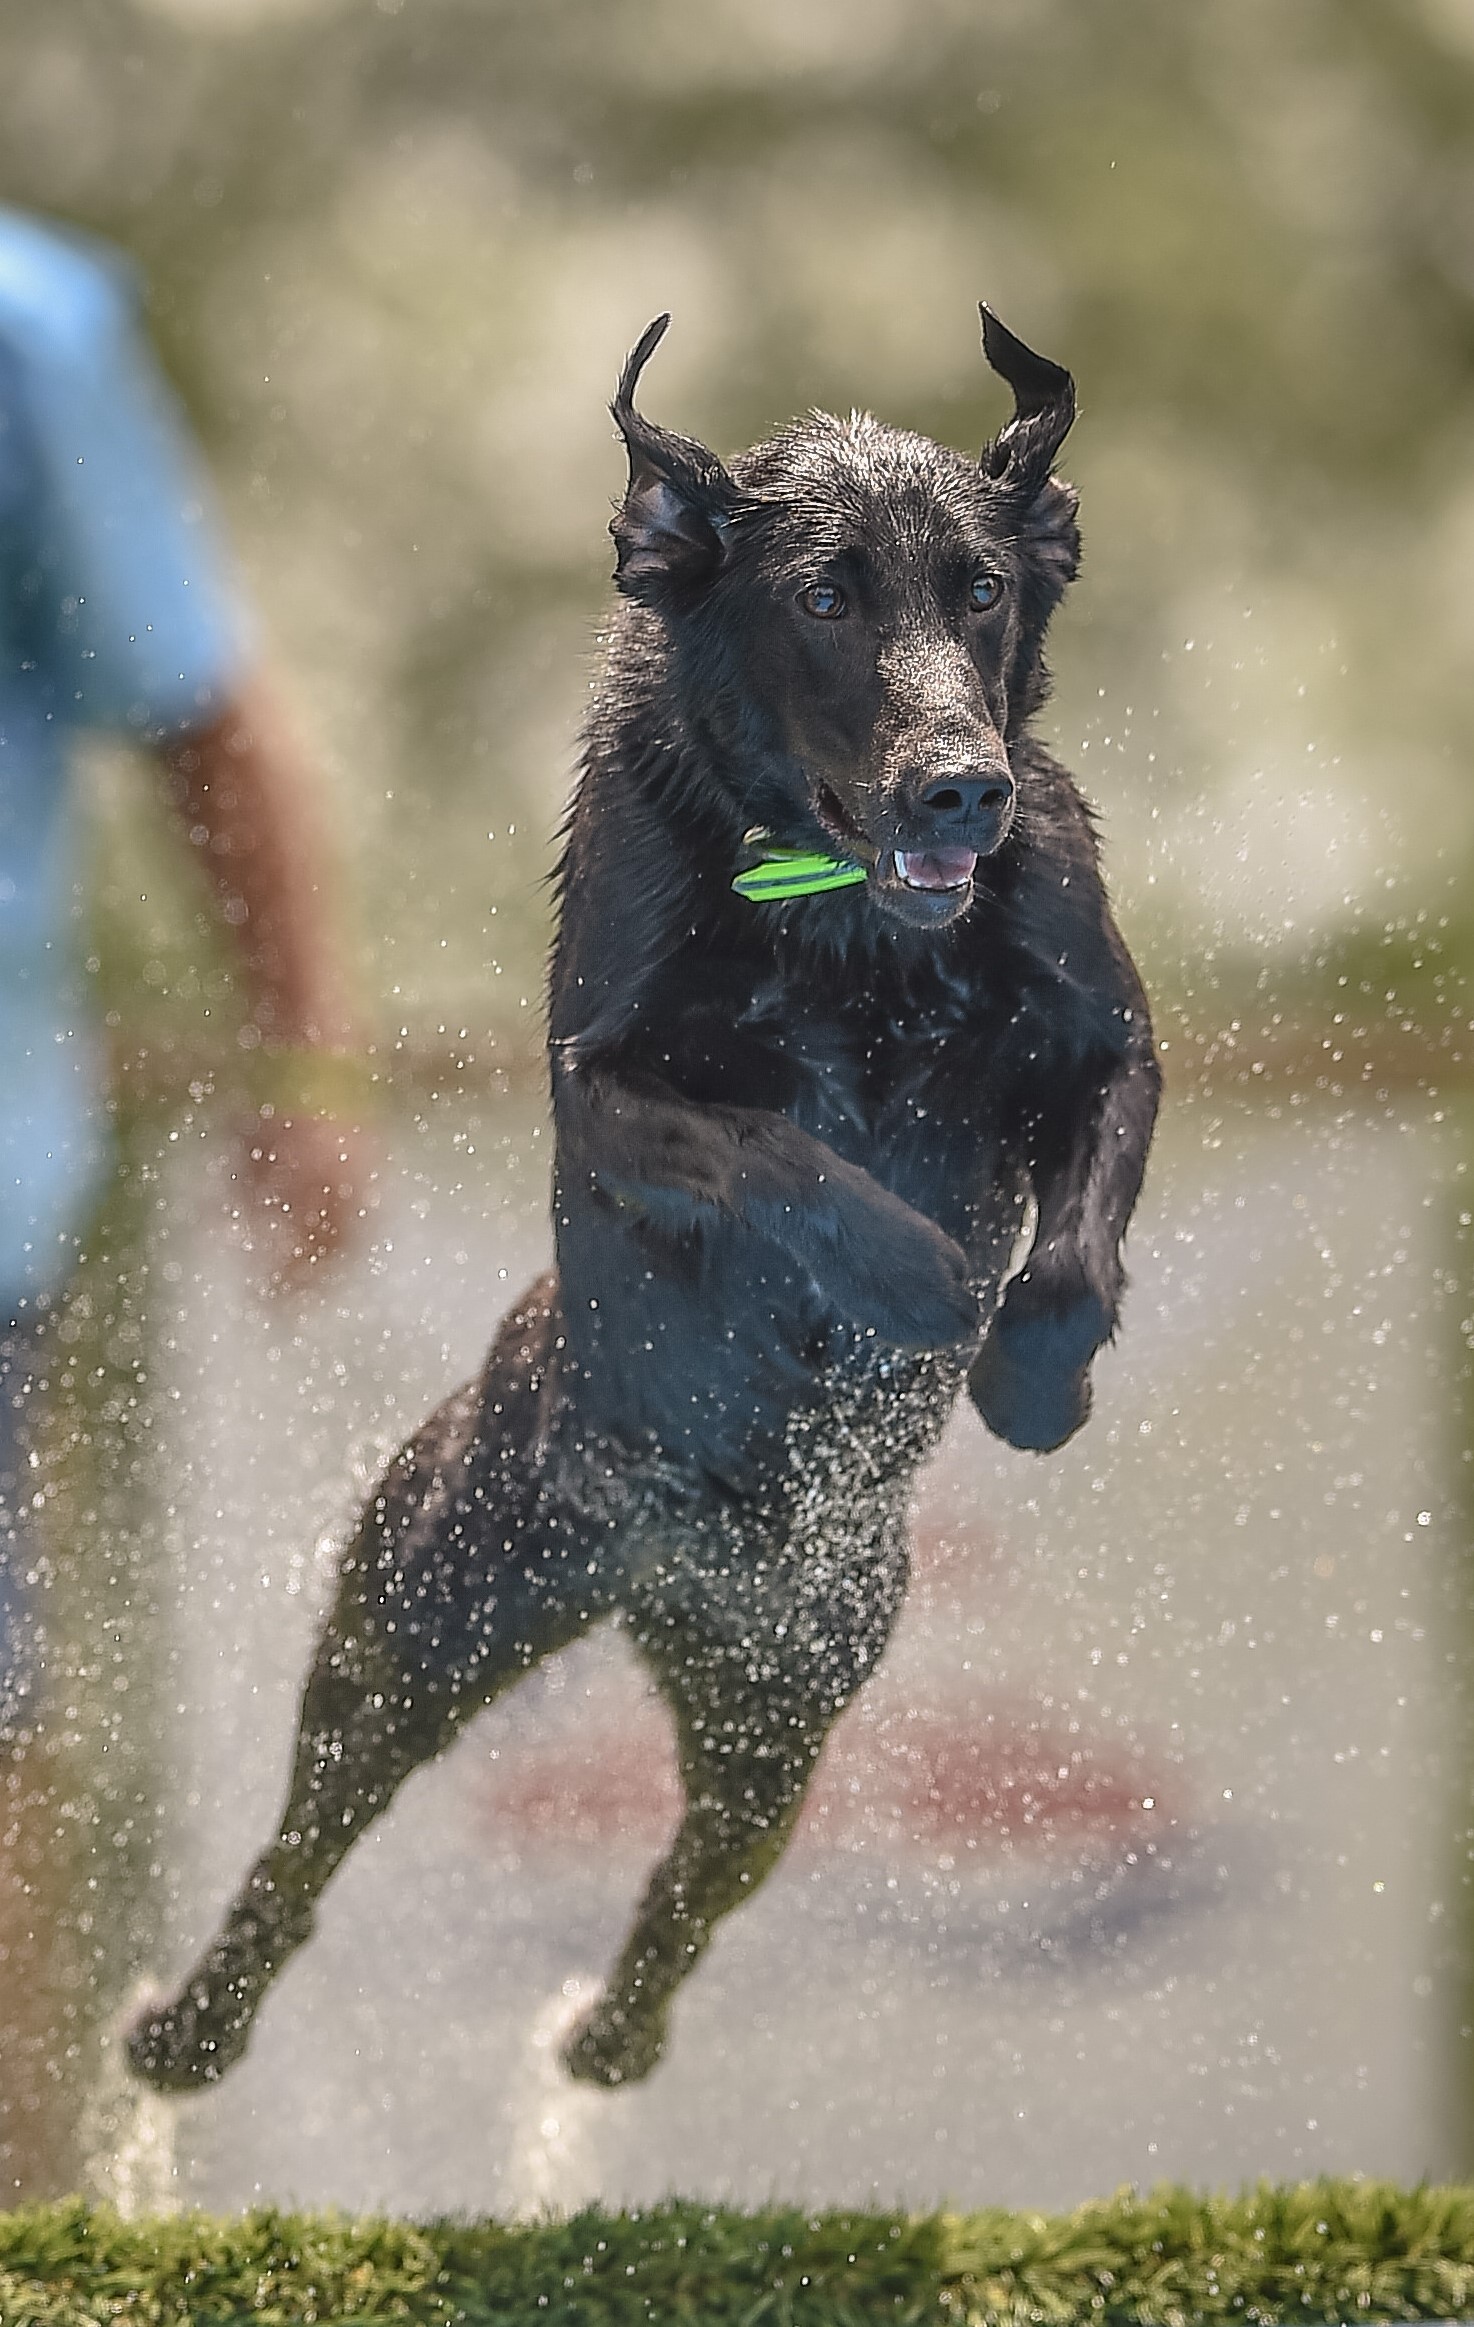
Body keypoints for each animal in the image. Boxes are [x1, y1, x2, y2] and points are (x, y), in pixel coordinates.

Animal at [126, 304, 1159, 2094]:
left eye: (979, 590)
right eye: (823, 597)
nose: (961, 785)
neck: (844, 926)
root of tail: (650, 1570)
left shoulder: (1103, 1039)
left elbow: (1073, 1249)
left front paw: (1027, 1379)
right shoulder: (604, 1090)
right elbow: (777, 1152)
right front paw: (913, 1279)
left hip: (784, 1701)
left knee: (689, 1878)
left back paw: (609, 2035)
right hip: (418, 1615)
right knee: (306, 1844)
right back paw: (194, 2025)